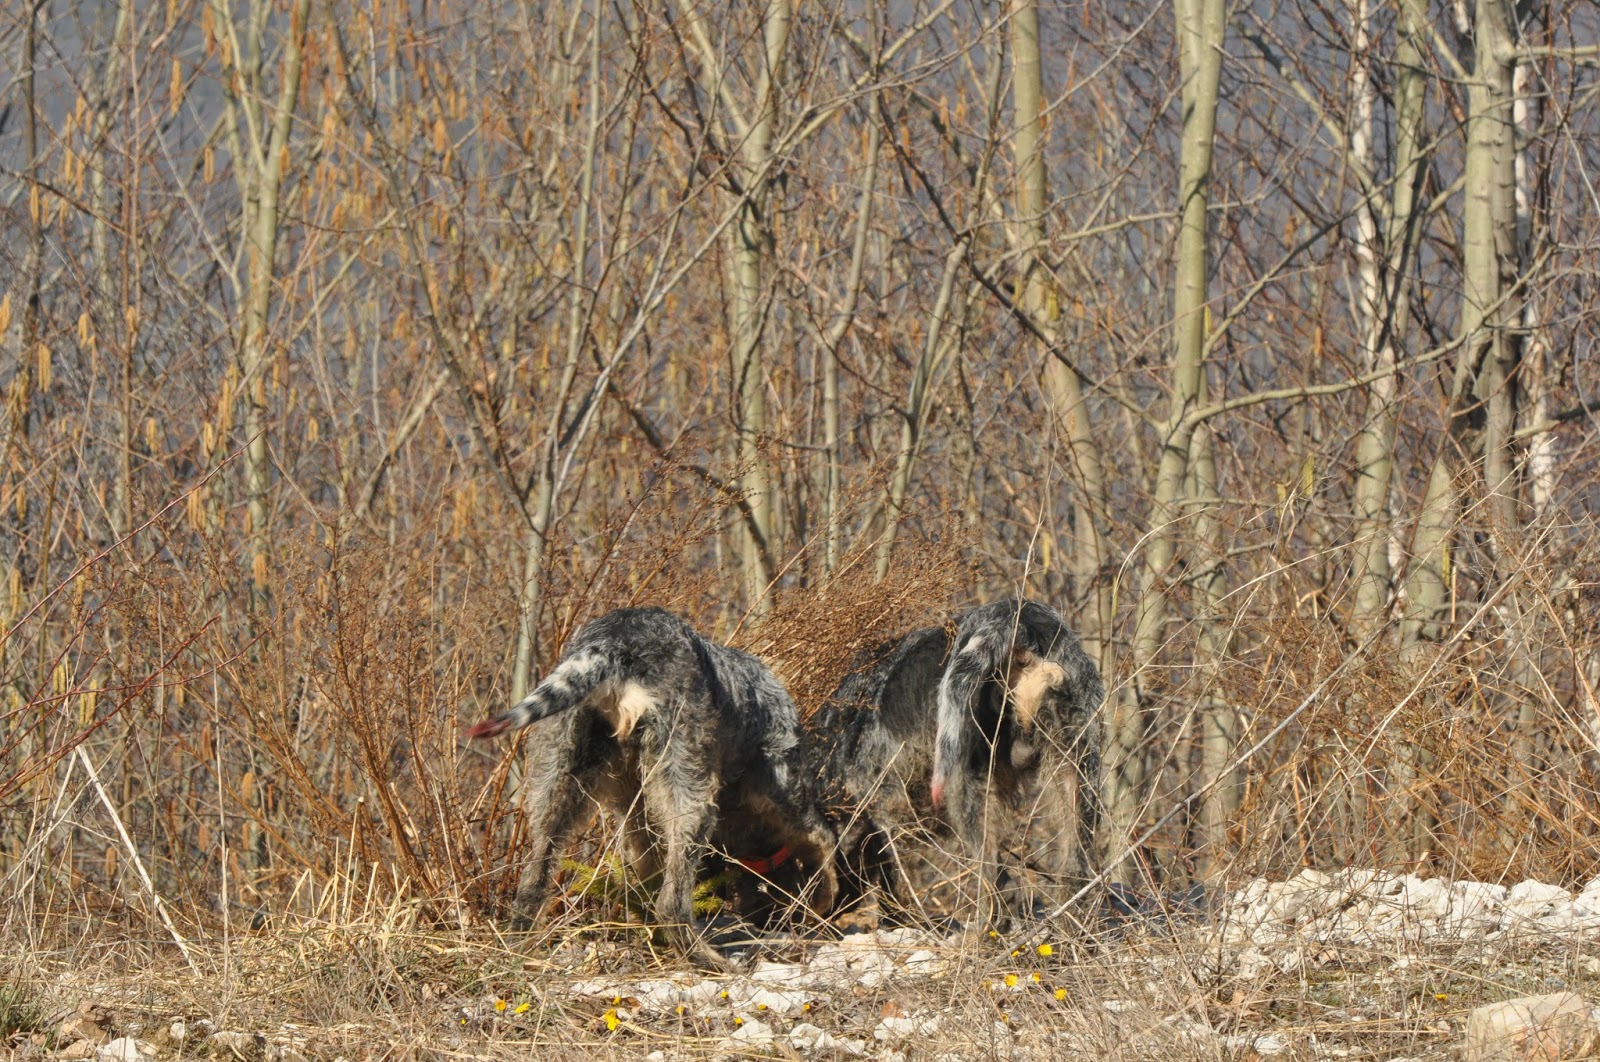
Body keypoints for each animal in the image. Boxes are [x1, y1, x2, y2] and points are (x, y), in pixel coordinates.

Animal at [467, 610, 832, 966]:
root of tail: (615, 642)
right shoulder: (783, 784)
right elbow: (820, 839)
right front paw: (823, 897)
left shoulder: (637, 818)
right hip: (691, 797)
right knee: (672, 904)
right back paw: (710, 960)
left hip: (556, 786)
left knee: (533, 885)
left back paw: (517, 951)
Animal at [812, 601, 1100, 927]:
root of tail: (1015, 616)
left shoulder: (886, 805)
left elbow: (896, 877)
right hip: (1075, 772)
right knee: (1073, 867)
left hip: (963, 784)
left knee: (996, 878)